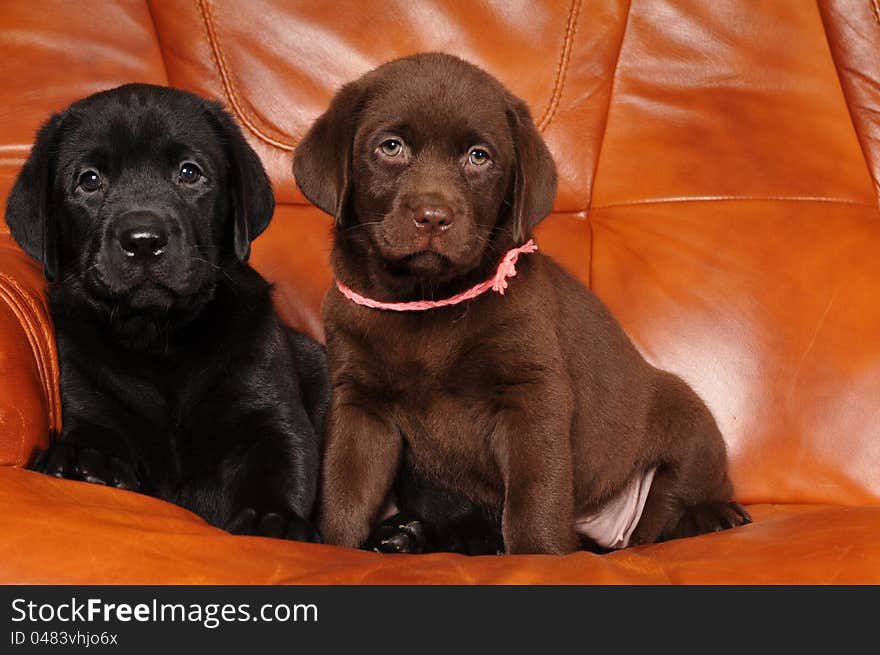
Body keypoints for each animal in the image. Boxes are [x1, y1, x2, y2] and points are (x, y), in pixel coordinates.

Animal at [6, 84, 330, 540]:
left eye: (189, 173)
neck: (160, 339)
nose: (143, 239)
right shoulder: (87, 395)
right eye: (89, 180)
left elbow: (283, 460)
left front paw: (275, 521)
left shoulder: (270, 409)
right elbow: (93, 429)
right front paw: (82, 460)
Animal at [296, 53, 748, 552]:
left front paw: (537, 553)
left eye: (479, 156)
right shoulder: (361, 403)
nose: (433, 216)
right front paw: (337, 546)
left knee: (675, 503)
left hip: (689, 424)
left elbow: (536, 489)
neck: (427, 300)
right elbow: (346, 488)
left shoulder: (532, 393)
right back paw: (405, 536)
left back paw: (714, 515)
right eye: (391, 147)